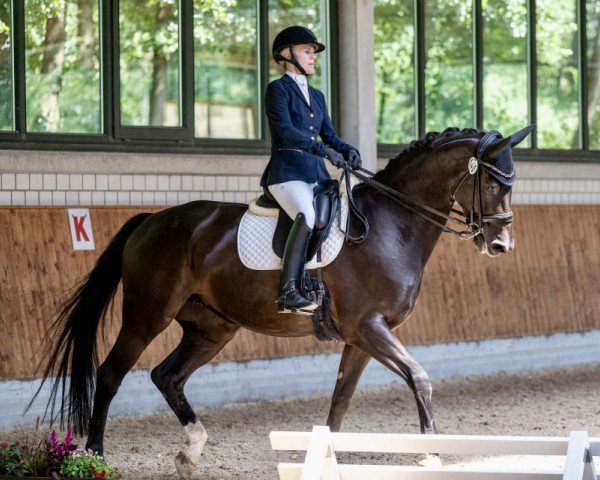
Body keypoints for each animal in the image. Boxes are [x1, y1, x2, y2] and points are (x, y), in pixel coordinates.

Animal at [31, 124, 528, 480]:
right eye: (493, 184)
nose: (501, 245)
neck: (391, 223)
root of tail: (153, 219)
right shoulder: (369, 328)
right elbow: (420, 379)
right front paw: (430, 457)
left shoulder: (361, 337)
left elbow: (340, 400)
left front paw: (325, 458)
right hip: (146, 315)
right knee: (111, 373)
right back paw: (95, 456)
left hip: (212, 327)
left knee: (166, 376)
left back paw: (190, 453)